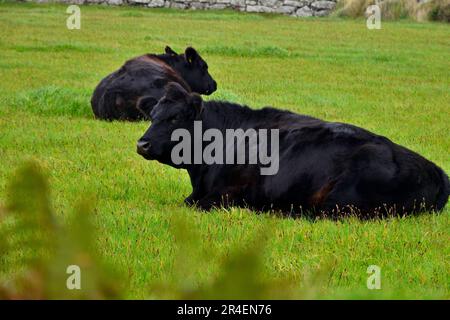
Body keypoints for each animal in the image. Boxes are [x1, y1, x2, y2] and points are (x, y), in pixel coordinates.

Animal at [135, 82, 448, 218]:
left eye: (175, 118)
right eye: (153, 115)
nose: (142, 144)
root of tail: (436, 172)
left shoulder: (226, 193)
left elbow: (192, 204)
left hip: (343, 197)